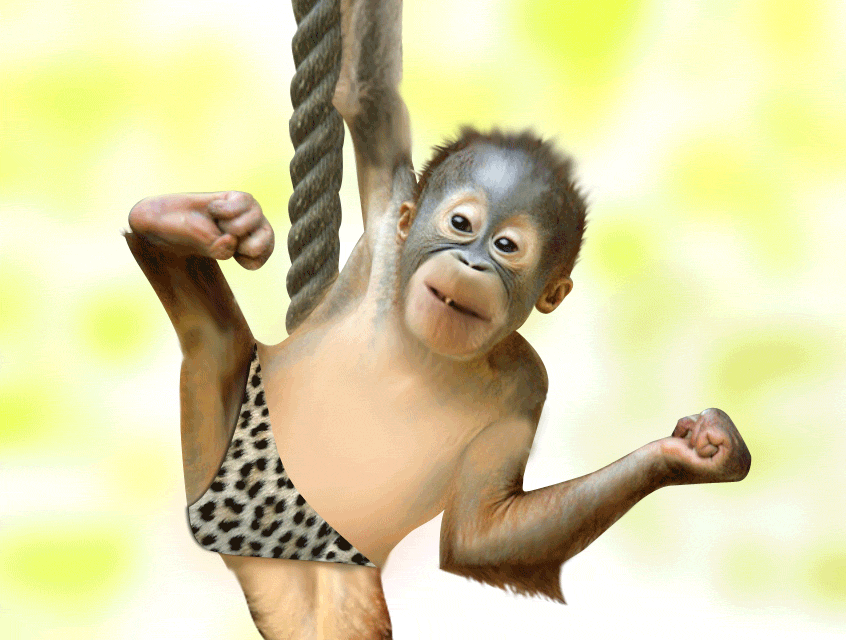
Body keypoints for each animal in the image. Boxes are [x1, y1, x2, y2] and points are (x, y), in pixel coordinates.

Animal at [124, 0, 751, 638]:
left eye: (506, 246)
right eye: (460, 224)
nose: (471, 262)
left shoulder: (530, 384)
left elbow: (480, 533)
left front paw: (691, 455)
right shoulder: (389, 220)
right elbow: (365, 96)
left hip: (331, 575)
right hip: (217, 434)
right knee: (213, 341)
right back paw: (179, 220)